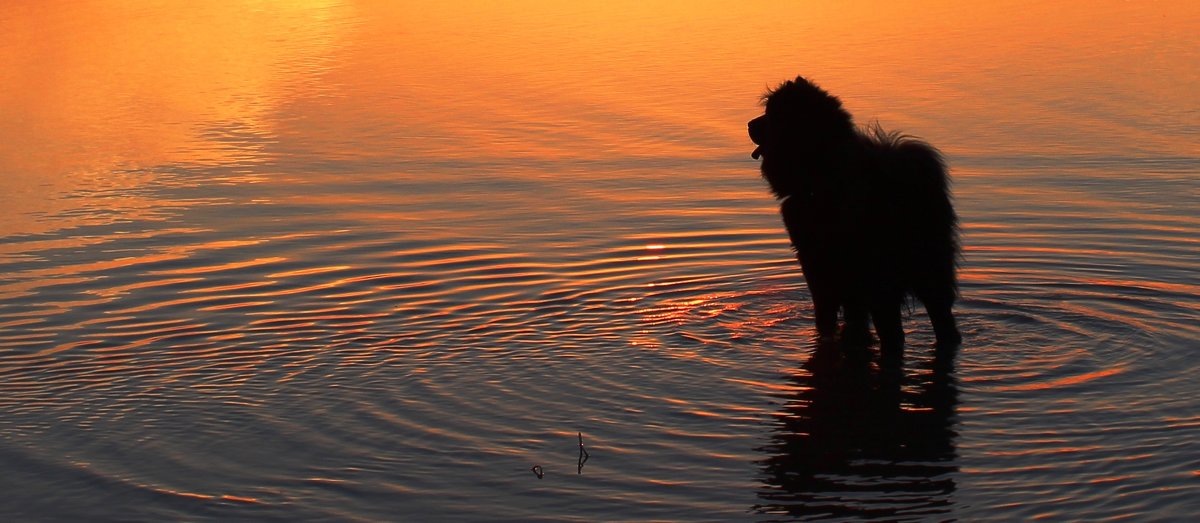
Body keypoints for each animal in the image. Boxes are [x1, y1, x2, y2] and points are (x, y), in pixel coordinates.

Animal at [744, 74, 960, 359]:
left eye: (770, 114)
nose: (749, 124)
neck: (822, 172)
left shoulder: (819, 268)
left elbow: (826, 316)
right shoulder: (850, 288)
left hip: (882, 276)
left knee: (893, 330)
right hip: (930, 270)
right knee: (943, 321)